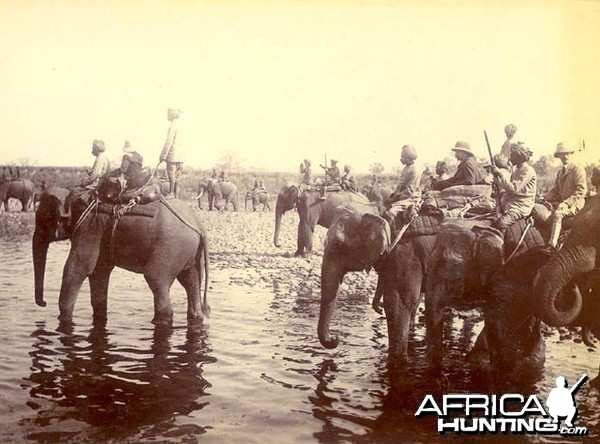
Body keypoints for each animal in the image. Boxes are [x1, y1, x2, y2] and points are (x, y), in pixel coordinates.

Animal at [33, 185, 211, 326]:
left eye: (42, 218)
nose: (43, 303)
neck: (74, 194)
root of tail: (199, 224)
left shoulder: (90, 226)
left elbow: (77, 267)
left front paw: (63, 320)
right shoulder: (99, 232)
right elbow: (99, 271)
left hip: (171, 247)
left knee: (156, 279)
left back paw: (158, 322)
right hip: (190, 253)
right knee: (191, 282)